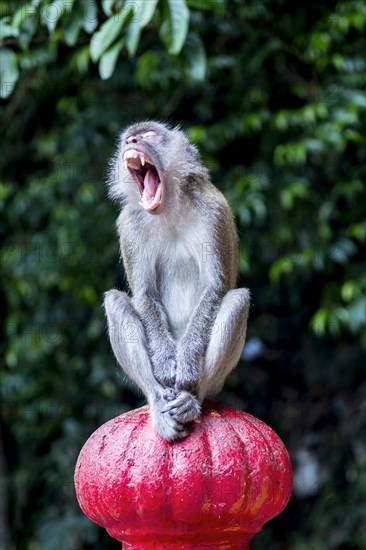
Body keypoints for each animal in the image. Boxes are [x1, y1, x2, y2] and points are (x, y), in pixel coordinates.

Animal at [104, 122, 250, 444]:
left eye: (149, 135)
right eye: (128, 138)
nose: (132, 141)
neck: (169, 209)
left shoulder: (213, 211)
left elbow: (215, 288)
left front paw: (185, 366)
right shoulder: (130, 223)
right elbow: (144, 293)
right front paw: (164, 363)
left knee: (237, 300)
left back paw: (191, 400)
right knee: (115, 301)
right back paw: (158, 401)